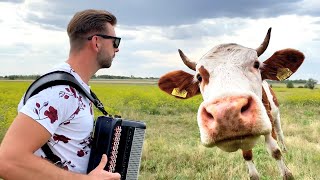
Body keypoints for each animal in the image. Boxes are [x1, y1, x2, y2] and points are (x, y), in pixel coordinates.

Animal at [159, 27, 304, 179]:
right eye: (199, 77)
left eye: (256, 64)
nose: (227, 113)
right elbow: (248, 157)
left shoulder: (269, 121)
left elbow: (275, 152)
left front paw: (286, 171)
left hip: (276, 116)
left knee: (280, 132)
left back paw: (285, 148)